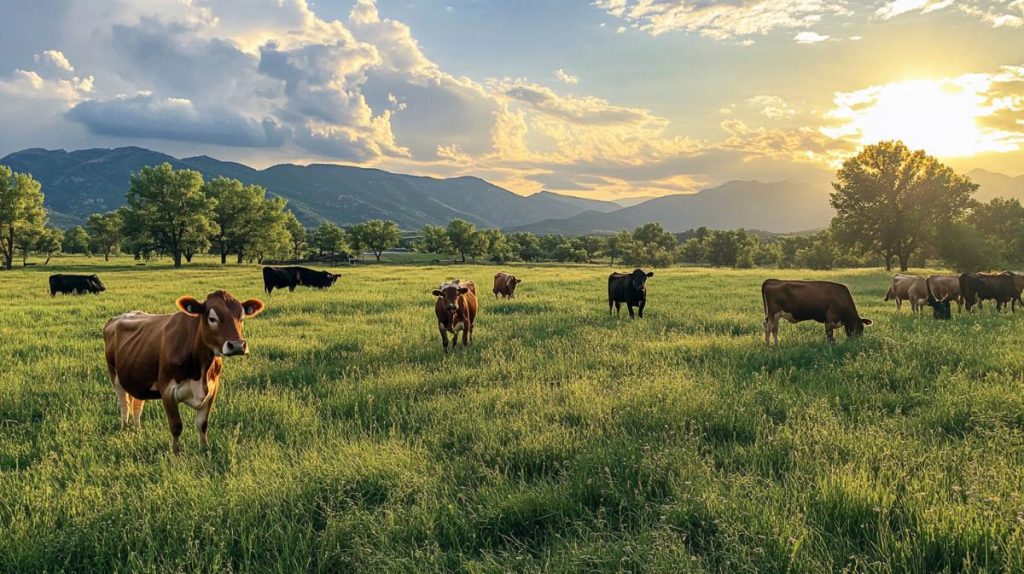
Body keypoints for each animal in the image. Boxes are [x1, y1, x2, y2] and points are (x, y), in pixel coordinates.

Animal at [101, 290, 264, 452]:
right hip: (114, 375)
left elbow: (202, 424)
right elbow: (176, 426)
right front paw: (176, 452)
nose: (237, 346)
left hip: (138, 376)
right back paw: (124, 429)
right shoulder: (167, 390)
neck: (200, 371)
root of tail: (117, 318)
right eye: (212, 318)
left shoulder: (212, 390)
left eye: (242, 318)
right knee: (124, 404)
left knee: (137, 404)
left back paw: (138, 429)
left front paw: (204, 449)